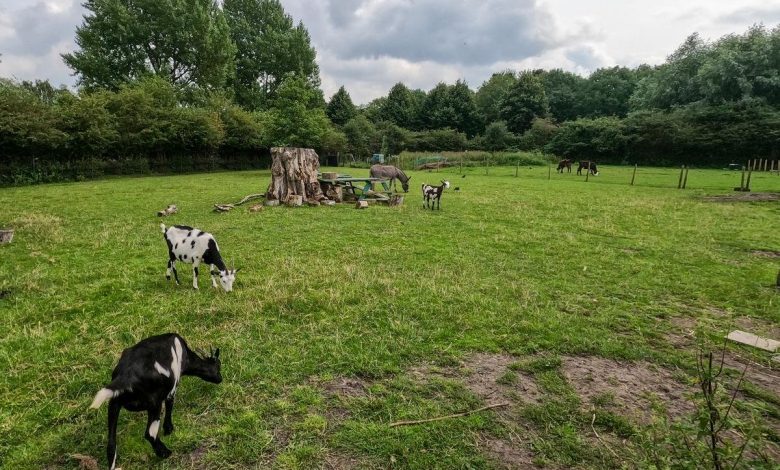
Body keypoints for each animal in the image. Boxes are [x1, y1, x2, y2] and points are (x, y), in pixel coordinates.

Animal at [89, 332, 221, 468]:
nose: (220, 379)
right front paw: (169, 429)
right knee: (150, 433)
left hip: (114, 404)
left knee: (111, 446)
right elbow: (170, 405)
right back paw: (165, 453)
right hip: (154, 403)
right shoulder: (172, 387)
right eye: (218, 366)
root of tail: (125, 377)